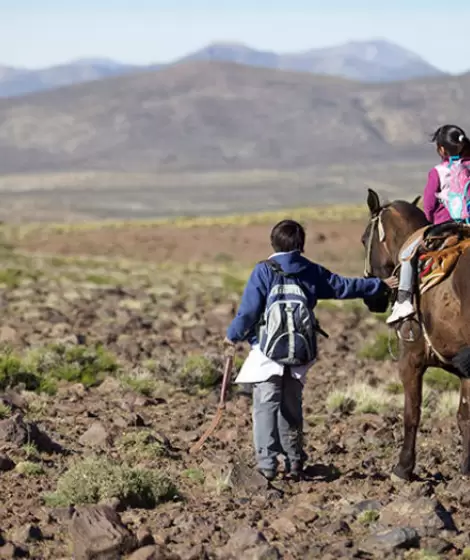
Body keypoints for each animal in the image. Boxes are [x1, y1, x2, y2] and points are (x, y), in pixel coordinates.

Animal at [364, 189, 470, 482]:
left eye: (364, 239)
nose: (373, 300)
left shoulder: (410, 360)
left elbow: (412, 412)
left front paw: (403, 468)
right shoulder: (464, 370)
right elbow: (463, 416)